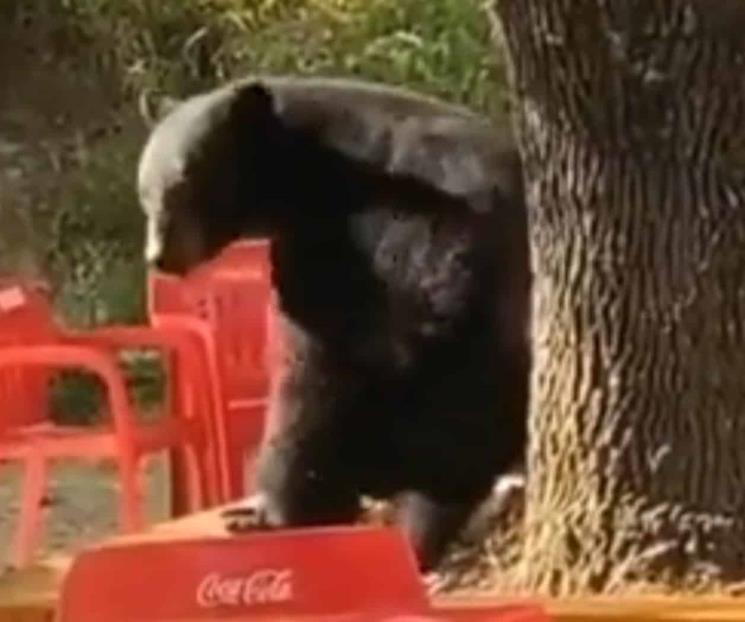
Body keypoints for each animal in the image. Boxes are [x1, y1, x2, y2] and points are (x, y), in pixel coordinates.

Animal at [137, 75, 530, 572]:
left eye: (183, 184)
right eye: (145, 191)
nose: (160, 257)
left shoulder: (375, 241)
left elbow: (318, 370)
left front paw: (276, 508)